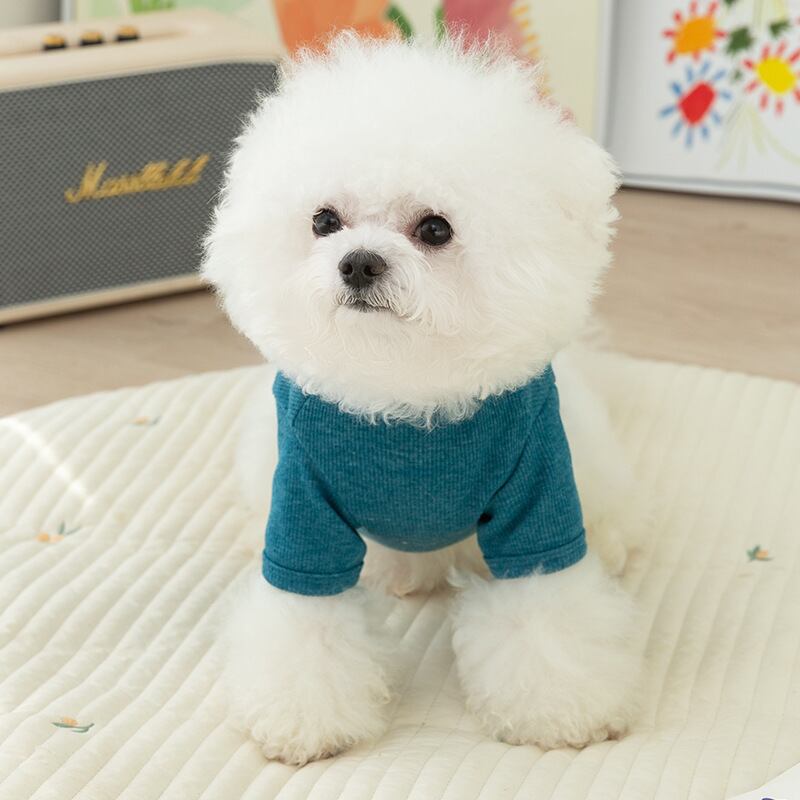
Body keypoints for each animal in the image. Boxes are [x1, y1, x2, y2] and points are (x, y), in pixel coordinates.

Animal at [203, 34, 645, 765]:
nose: (358, 261)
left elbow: (544, 612)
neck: (408, 404)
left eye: (435, 229)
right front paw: (301, 717)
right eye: (324, 221)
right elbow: (305, 623)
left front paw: (560, 709)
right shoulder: (302, 506)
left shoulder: (539, 492)